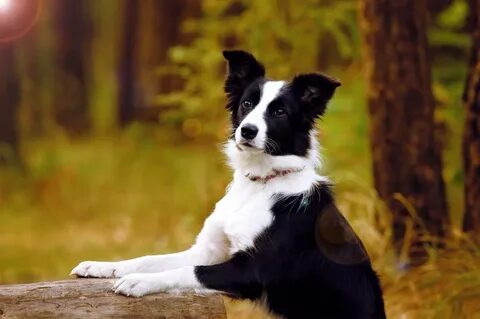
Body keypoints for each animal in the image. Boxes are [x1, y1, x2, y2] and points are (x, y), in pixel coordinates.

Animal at [71, 50, 386, 319]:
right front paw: (102, 266)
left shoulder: (250, 271)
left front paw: (138, 282)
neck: (259, 183)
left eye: (280, 112)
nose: (247, 131)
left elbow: (189, 271)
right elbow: (150, 258)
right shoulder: (208, 250)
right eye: (247, 104)